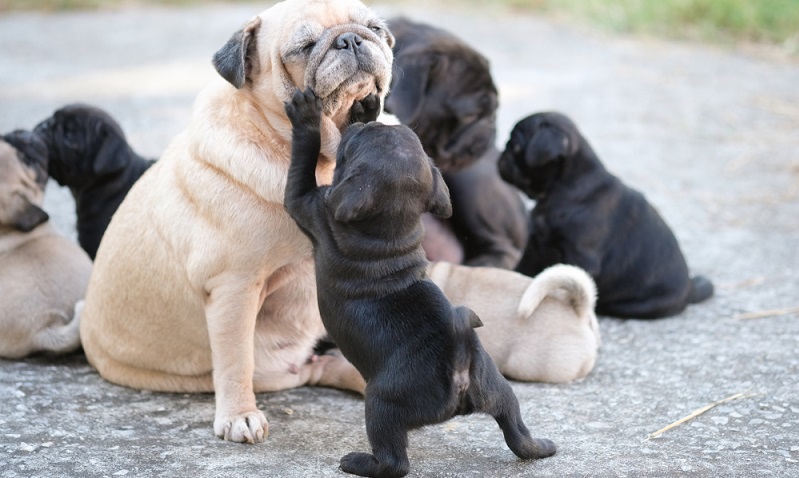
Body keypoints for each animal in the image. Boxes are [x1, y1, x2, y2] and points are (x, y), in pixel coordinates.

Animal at [282, 87, 556, 478]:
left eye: (354, 144)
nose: (365, 121)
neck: (389, 228)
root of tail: (459, 371)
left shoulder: (309, 204)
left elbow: (301, 161)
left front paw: (306, 116)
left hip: (381, 403)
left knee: (395, 462)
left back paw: (359, 463)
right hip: (497, 388)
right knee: (516, 428)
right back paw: (543, 447)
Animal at [504, 112, 716, 320]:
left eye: (516, 146)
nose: (502, 154)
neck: (564, 187)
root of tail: (690, 290)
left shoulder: (580, 257)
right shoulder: (533, 246)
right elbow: (522, 267)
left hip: (637, 305)